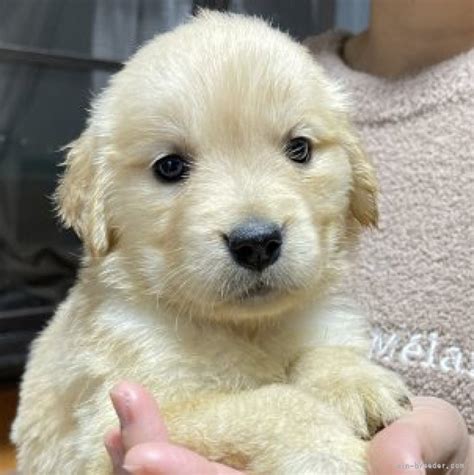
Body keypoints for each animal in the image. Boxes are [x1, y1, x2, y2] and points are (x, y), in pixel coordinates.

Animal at [12, 11, 412, 475]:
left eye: (299, 148)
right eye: (169, 166)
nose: (257, 243)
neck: (247, 328)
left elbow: (322, 350)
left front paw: (355, 381)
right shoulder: (128, 417)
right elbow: (271, 403)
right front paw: (327, 453)